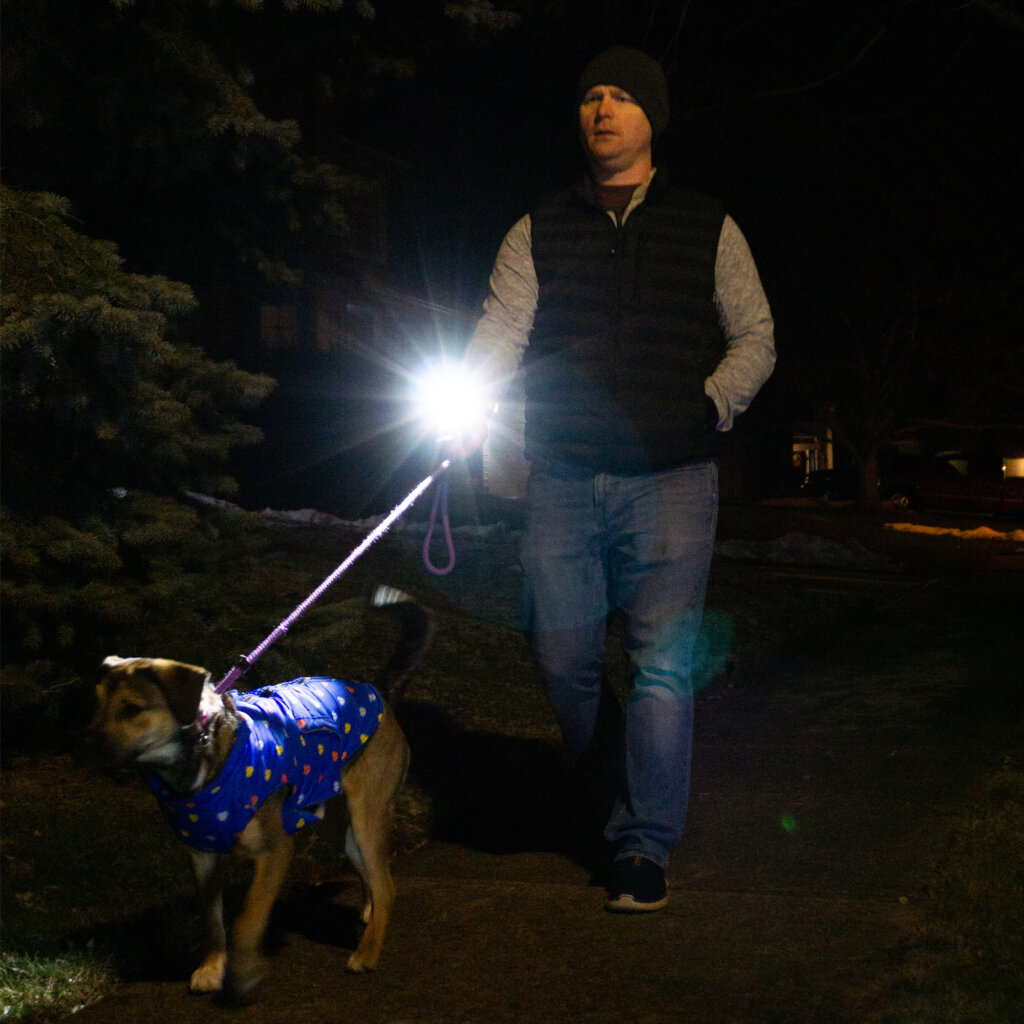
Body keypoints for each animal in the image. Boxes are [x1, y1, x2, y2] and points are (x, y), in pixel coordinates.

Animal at [83, 585, 428, 999]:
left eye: (132, 709)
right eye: (95, 704)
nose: (85, 747)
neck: (202, 756)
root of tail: (381, 694)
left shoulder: (276, 851)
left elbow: (248, 919)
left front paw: (244, 972)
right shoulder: (201, 856)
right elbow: (212, 921)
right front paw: (212, 969)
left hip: (367, 818)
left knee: (387, 885)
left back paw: (368, 952)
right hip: (339, 827)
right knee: (371, 875)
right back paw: (369, 915)